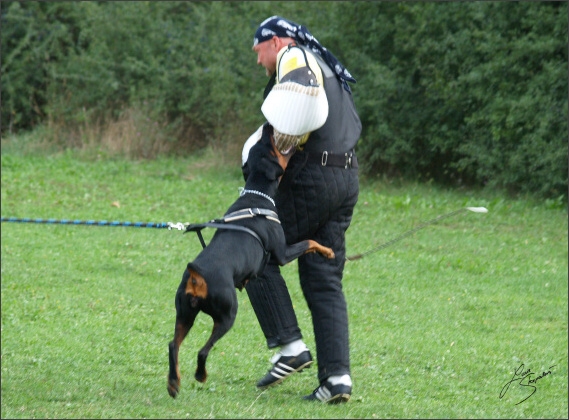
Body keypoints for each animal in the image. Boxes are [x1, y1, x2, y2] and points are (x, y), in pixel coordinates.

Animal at [165, 124, 332, 398]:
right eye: (270, 145)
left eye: (260, 143)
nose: (267, 126)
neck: (257, 196)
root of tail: (197, 275)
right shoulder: (283, 253)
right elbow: (309, 242)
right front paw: (327, 251)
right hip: (226, 314)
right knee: (203, 350)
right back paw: (200, 375)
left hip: (185, 313)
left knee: (172, 345)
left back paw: (173, 383)